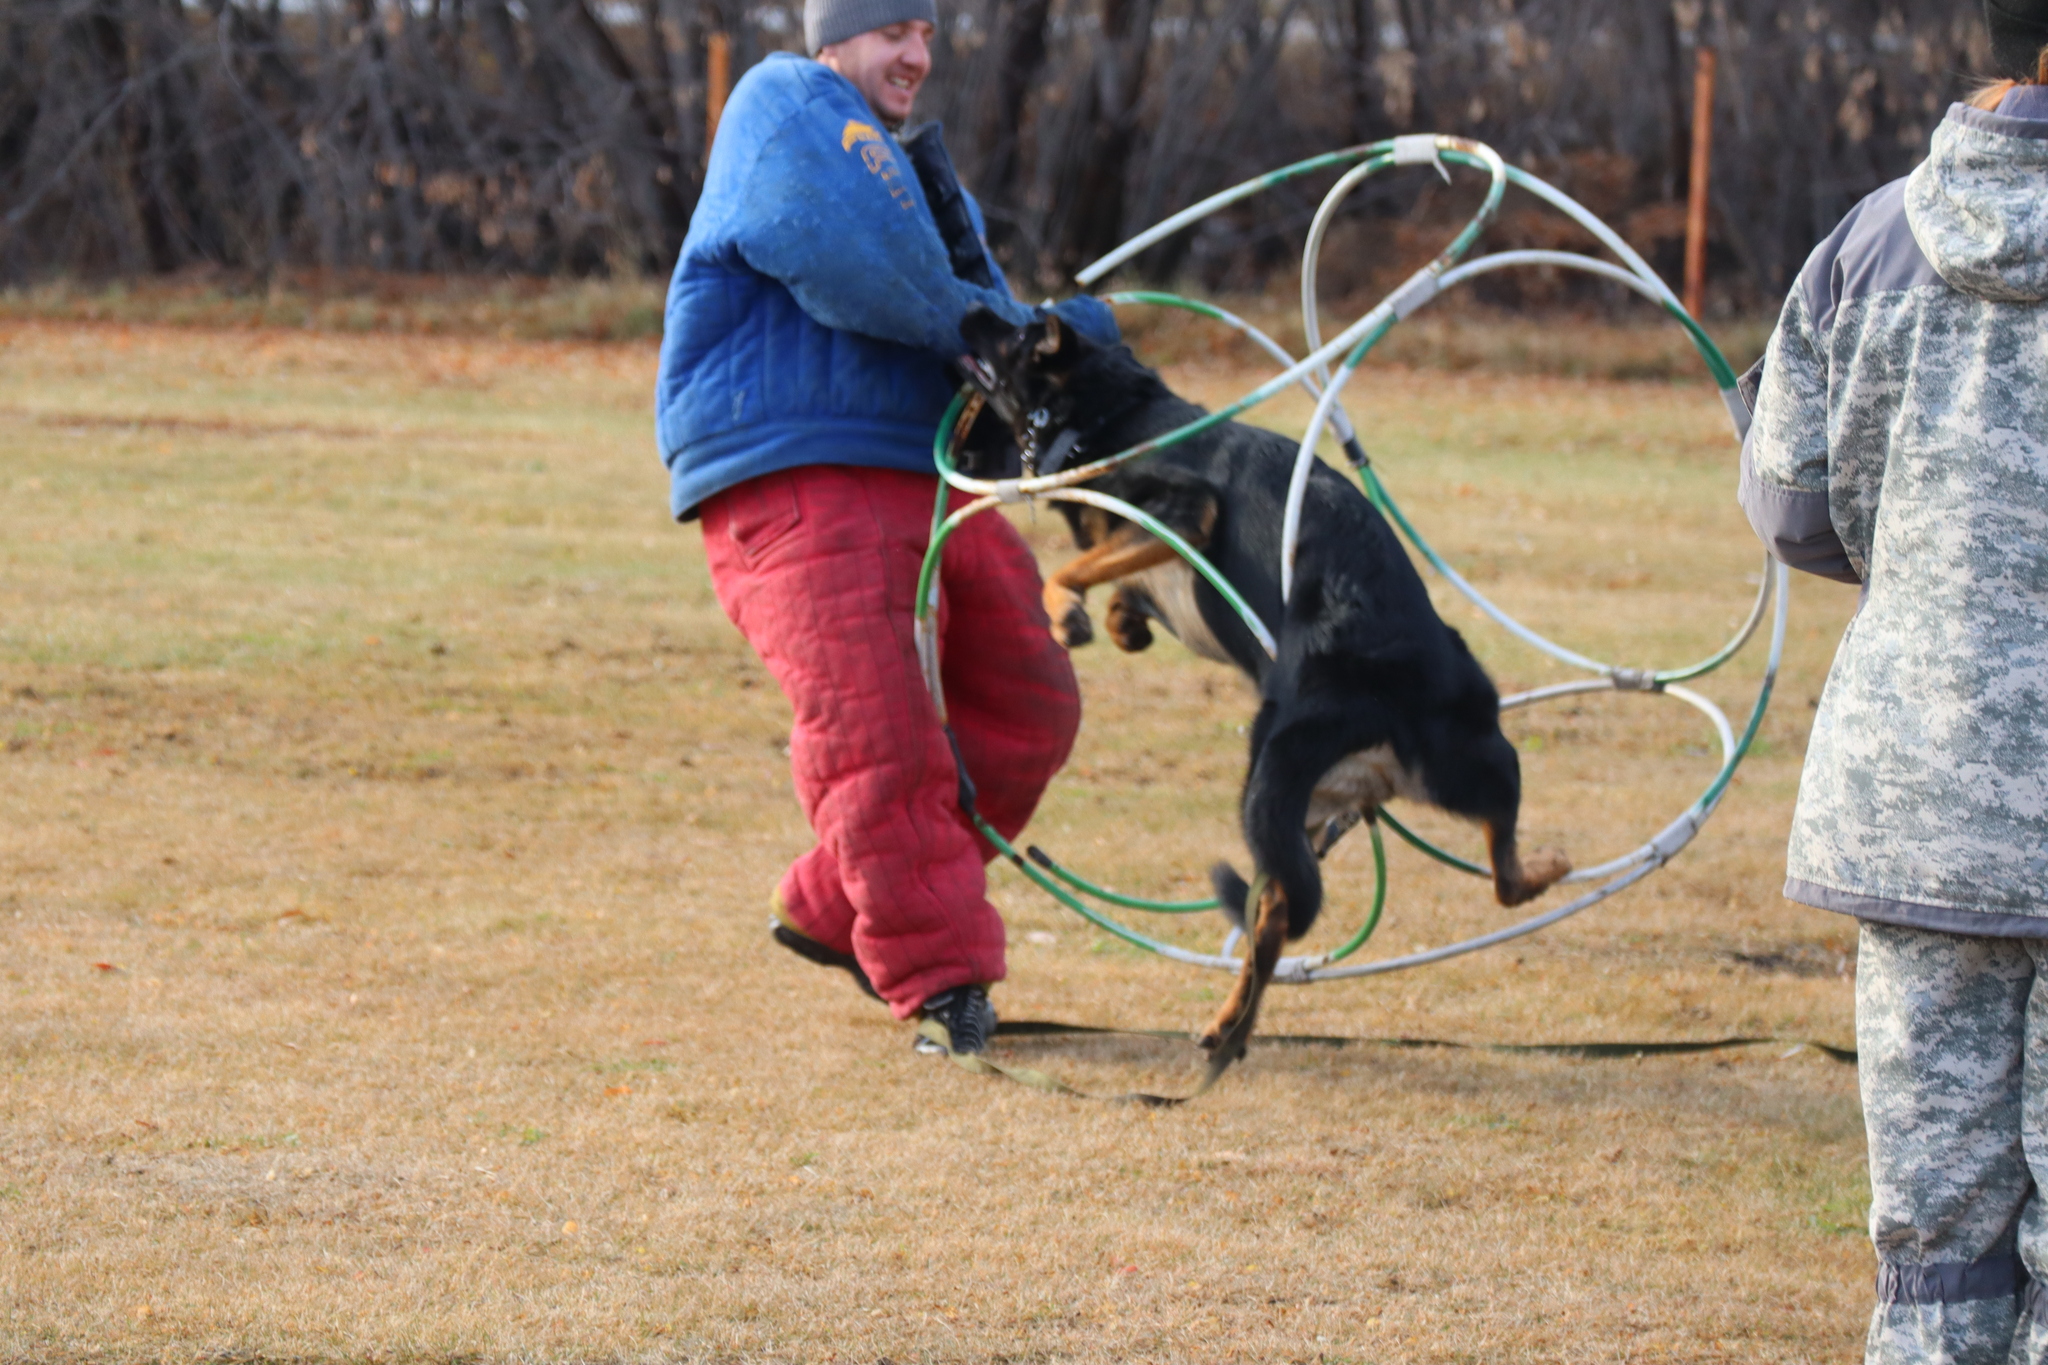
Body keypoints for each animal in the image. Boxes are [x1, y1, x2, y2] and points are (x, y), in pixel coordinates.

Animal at [958, 309, 1564, 1064]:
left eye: (1016, 331)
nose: (969, 311)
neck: (1113, 416)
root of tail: (1379, 720)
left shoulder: (1184, 510)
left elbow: (1068, 570)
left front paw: (1068, 614)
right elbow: (1116, 585)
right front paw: (1120, 624)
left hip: (1308, 781)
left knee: (1479, 878)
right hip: (1379, 788)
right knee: (1301, 909)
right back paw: (1231, 1024)